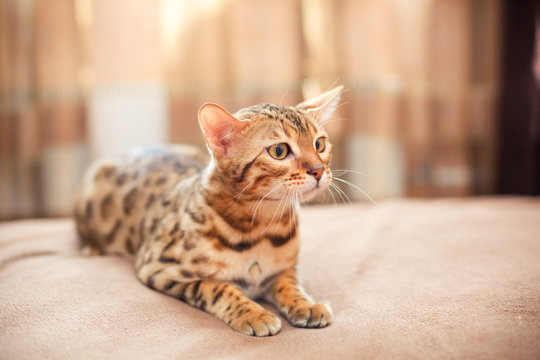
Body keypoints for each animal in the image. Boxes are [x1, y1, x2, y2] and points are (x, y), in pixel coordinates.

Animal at [73, 86, 342, 336]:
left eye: (320, 144)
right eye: (279, 151)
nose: (319, 170)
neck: (262, 228)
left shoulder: (286, 268)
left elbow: (291, 285)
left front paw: (306, 305)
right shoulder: (159, 268)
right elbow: (217, 288)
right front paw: (253, 314)